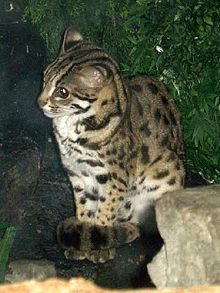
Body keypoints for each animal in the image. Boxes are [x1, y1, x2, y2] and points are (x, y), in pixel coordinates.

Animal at [38, 27, 186, 262]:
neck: (71, 125)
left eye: (62, 92)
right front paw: (83, 236)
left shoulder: (116, 179)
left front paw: (99, 243)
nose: (40, 102)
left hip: (169, 172)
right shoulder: (77, 173)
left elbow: (105, 212)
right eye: (44, 79)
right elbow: (84, 207)